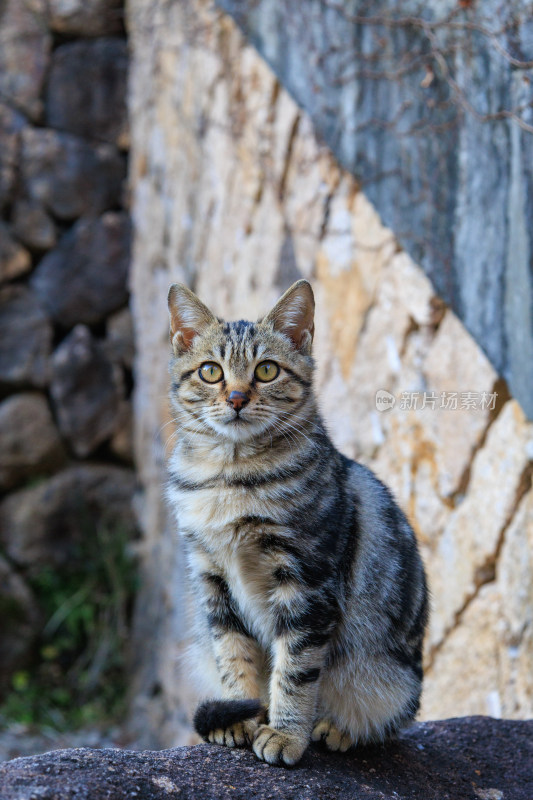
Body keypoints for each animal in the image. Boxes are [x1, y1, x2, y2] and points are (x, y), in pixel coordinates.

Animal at [166, 278, 428, 764]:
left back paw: (336, 728)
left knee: (384, 722)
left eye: (267, 370)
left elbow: (295, 669)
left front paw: (286, 734)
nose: (236, 398)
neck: (230, 478)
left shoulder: (308, 583)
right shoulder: (212, 580)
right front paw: (240, 717)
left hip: (389, 682)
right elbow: (234, 658)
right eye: (210, 371)